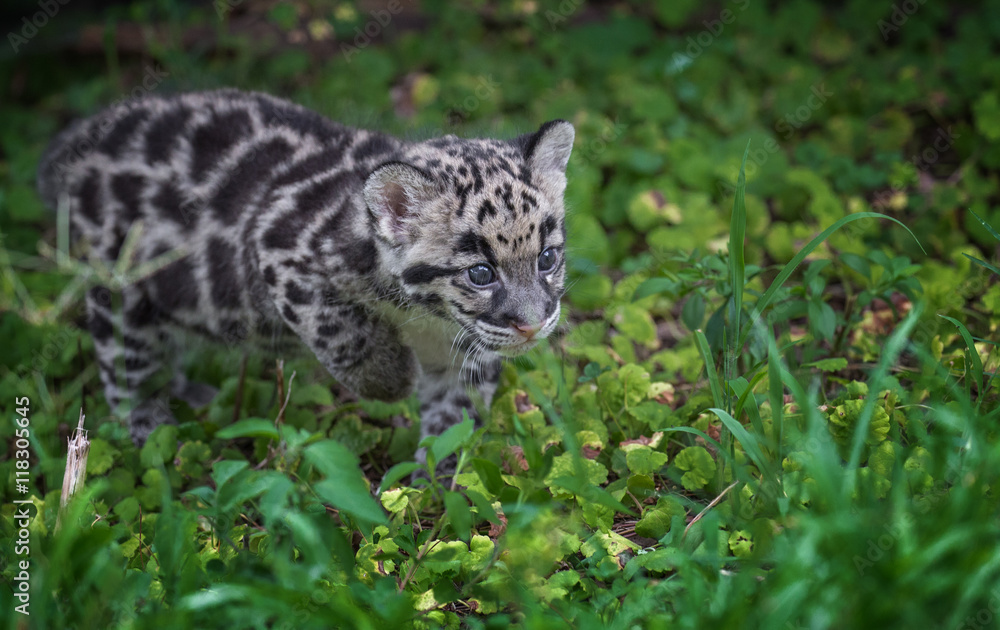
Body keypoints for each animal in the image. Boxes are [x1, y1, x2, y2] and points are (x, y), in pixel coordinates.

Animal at [36, 89, 574, 468]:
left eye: (547, 259)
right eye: (481, 273)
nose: (533, 324)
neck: (424, 314)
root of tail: (86, 139)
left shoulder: (460, 348)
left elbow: (455, 415)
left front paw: (435, 485)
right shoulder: (278, 249)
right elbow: (341, 330)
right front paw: (389, 378)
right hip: (120, 288)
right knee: (125, 371)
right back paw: (156, 429)